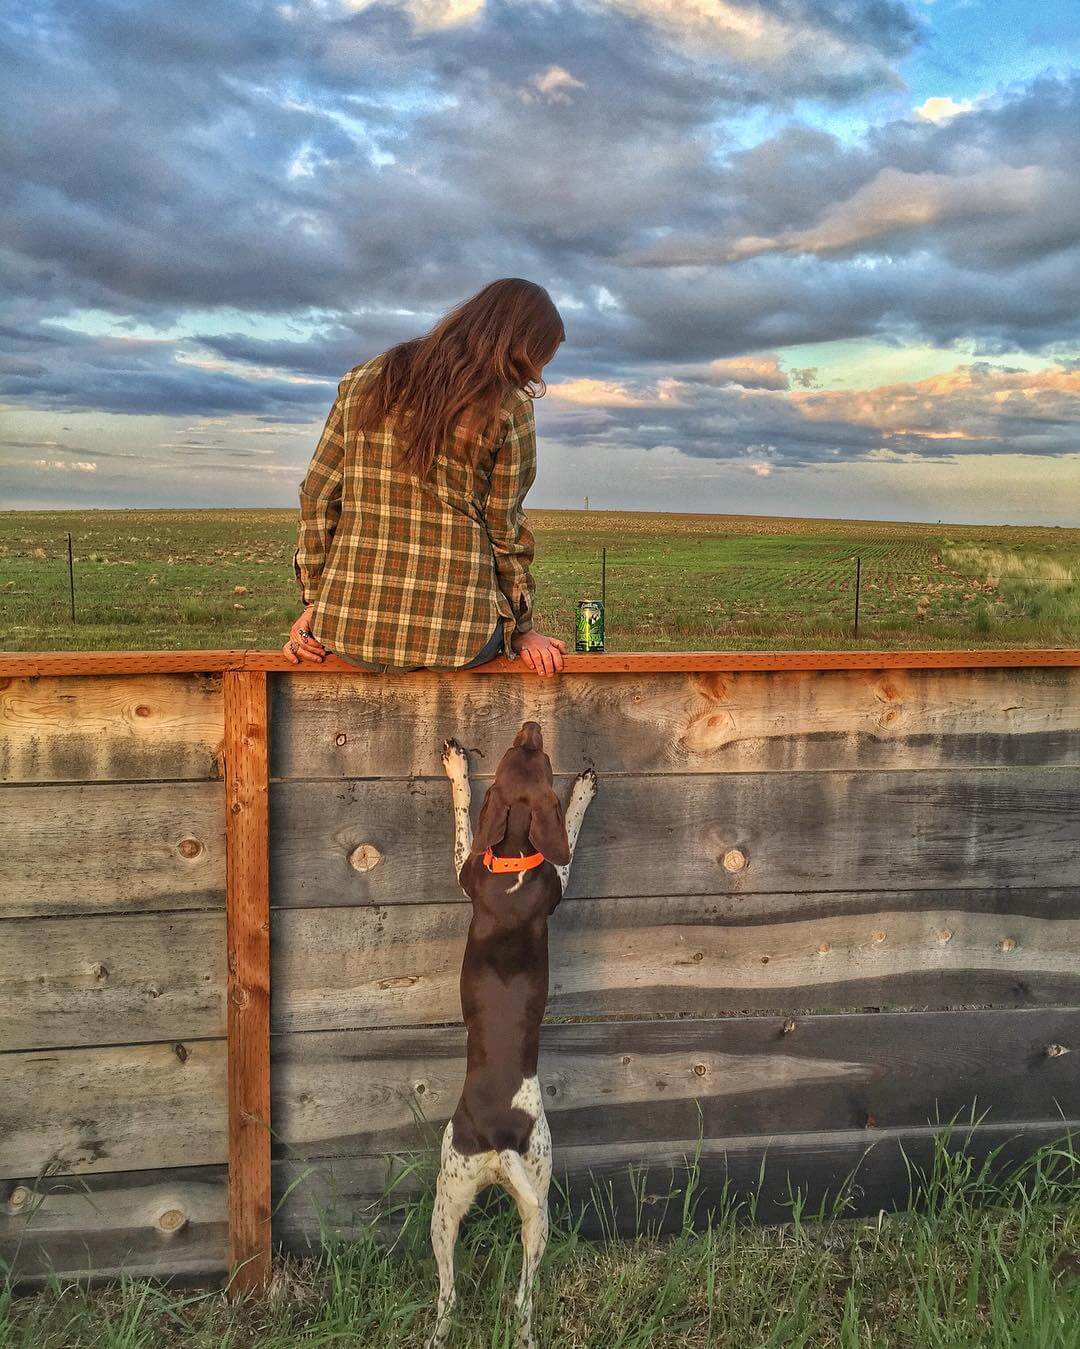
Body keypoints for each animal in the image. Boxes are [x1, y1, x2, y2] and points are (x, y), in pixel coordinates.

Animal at [428, 728, 598, 1349]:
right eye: (518, 755)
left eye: (538, 758)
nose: (530, 726)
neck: (517, 858)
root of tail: (500, 1139)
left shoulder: (470, 867)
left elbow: (465, 819)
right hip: (527, 1197)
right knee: (517, 1295)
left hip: (451, 1194)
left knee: (451, 1294)